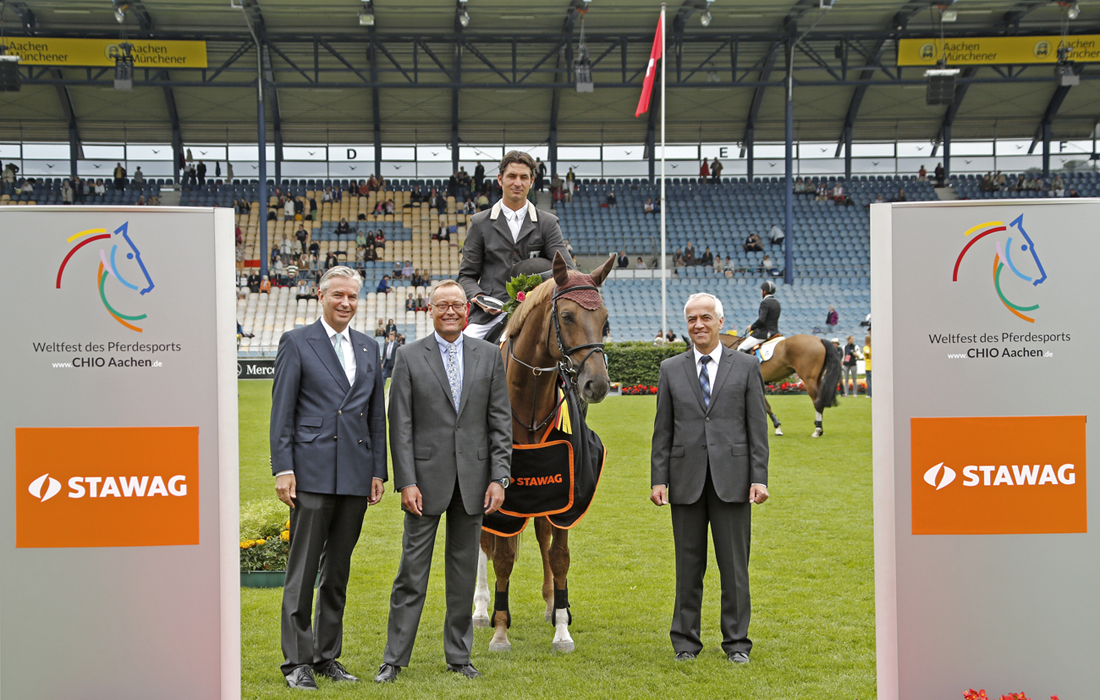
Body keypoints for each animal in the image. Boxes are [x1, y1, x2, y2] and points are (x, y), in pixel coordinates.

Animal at [468, 249, 616, 651]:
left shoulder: (566, 483)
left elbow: (559, 553)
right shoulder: (502, 492)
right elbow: (502, 557)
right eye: (566, 316)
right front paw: (500, 631)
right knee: (483, 545)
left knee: (542, 535)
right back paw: (481, 609)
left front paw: (562, 627)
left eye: (605, 320)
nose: (597, 384)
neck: (530, 395)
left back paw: (552, 604)